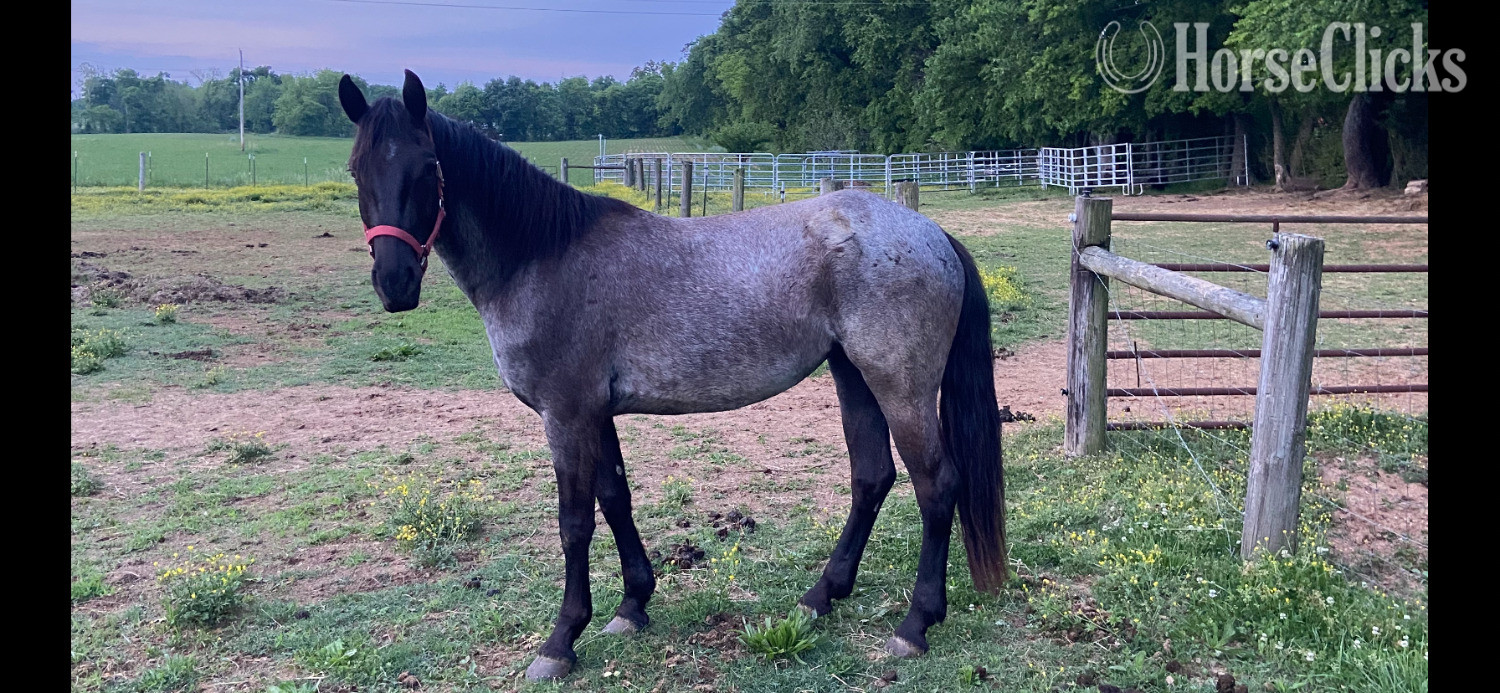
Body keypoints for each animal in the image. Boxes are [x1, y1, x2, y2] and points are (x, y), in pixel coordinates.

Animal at [338, 70, 1008, 681]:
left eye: (428, 167)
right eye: (355, 171)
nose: (394, 283)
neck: (542, 255)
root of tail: (930, 232)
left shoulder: (566, 414)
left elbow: (574, 522)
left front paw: (560, 642)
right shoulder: (595, 413)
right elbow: (615, 499)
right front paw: (632, 606)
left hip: (900, 385)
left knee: (936, 485)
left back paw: (915, 625)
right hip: (853, 376)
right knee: (871, 477)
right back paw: (822, 596)